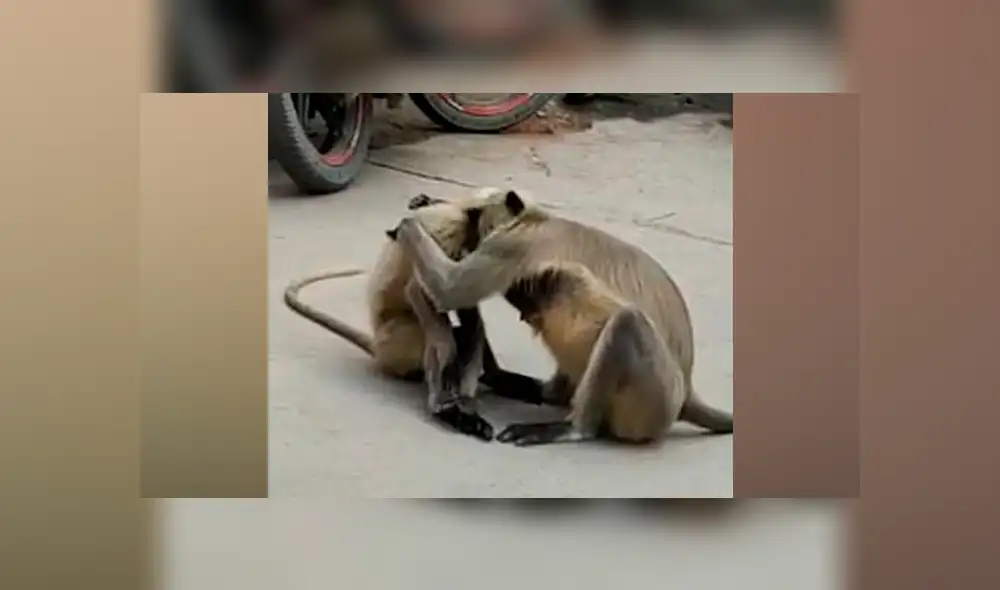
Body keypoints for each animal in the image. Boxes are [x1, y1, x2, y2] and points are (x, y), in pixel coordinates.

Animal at [283, 191, 547, 441]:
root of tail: (378, 347)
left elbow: (464, 307)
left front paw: (471, 396)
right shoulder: (445, 232)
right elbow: (420, 292)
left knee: (467, 328)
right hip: (397, 342)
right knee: (431, 333)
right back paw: (444, 407)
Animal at [390, 187, 734, 446]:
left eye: (475, 217)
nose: (470, 236)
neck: (538, 220)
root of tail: (686, 389)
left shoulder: (513, 245)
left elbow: (450, 289)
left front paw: (407, 225)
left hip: (654, 396)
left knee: (626, 322)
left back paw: (573, 428)